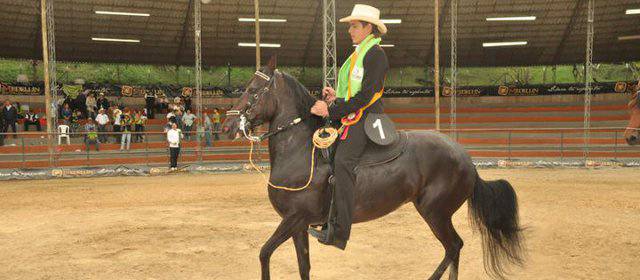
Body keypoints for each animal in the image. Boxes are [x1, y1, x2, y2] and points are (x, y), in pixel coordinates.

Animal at [222, 57, 524, 280]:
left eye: (252, 90)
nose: (227, 126)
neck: (303, 151)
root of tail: (466, 158)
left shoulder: (294, 218)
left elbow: (264, 253)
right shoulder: (298, 225)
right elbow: (303, 266)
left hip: (435, 213)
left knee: (453, 247)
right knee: (455, 249)